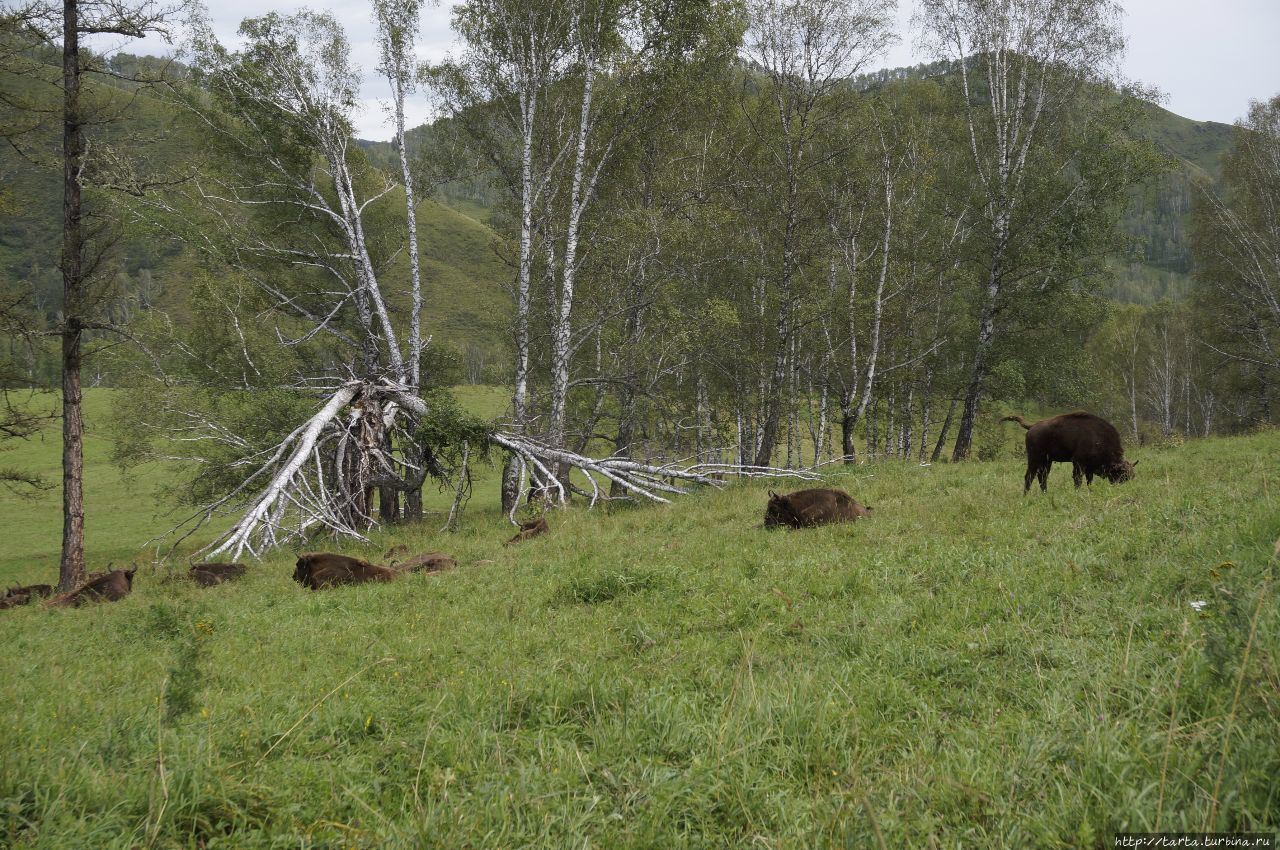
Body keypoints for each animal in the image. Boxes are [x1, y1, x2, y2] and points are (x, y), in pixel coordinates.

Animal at [998, 409, 1141, 494]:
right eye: (1122, 476)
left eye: (1132, 476)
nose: (1125, 490)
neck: (1099, 438)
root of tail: (1032, 426)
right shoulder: (1078, 463)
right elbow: (1078, 480)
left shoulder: (1089, 468)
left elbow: (1089, 481)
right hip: (1035, 458)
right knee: (1029, 476)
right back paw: (1026, 495)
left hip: (1047, 461)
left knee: (1042, 476)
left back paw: (1045, 493)